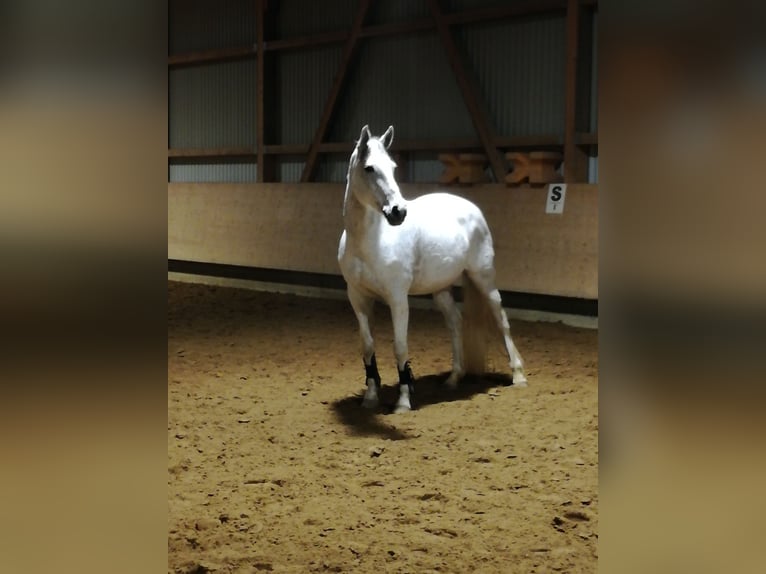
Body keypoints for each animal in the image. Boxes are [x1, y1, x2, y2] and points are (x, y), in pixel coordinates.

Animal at [340, 126, 528, 414]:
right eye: (369, 168)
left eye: (393, 167)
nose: (398, 212)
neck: (369, 240)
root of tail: (471, 208)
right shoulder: (358, 298)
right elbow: (368, 346)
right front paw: (370, 397)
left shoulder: (397, 299)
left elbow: (400, 346)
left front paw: (403, 401)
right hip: (441, 289)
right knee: (455, 323)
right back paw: (454, 378)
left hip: (483, 277)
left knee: (501, 319)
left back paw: (517, 375)